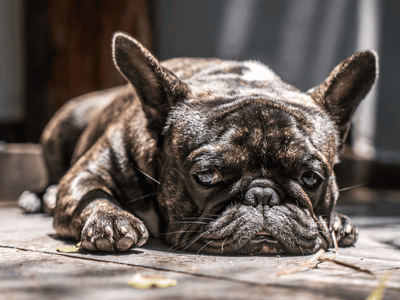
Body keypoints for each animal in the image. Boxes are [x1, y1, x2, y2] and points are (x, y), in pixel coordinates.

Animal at [28, 31, 378, 254]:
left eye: (311, 178)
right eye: (206, 176)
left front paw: (339, 222)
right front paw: (111, 220)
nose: (263, 196)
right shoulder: (85, 174)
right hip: (66, 123)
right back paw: (39, 197)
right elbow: (91, 194)